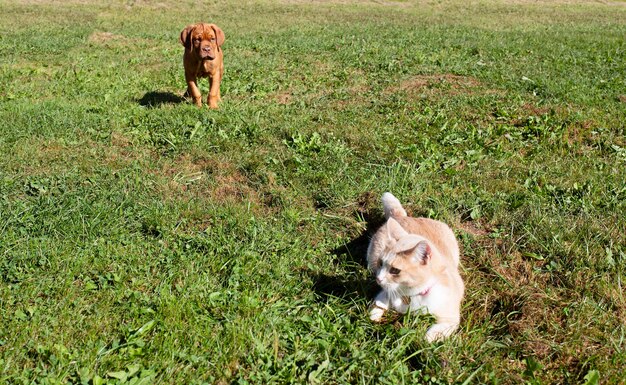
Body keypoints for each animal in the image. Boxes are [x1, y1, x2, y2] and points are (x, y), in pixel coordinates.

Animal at [366, 192, 464, 342]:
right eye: (381, 263)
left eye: (395, 270)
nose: (378, 279)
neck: (411, 294)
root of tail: (403, 216)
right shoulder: (386, 290)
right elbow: (380, 300)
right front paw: (375, 313)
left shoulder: (451, 318)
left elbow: (431, 335)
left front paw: (424, 339)